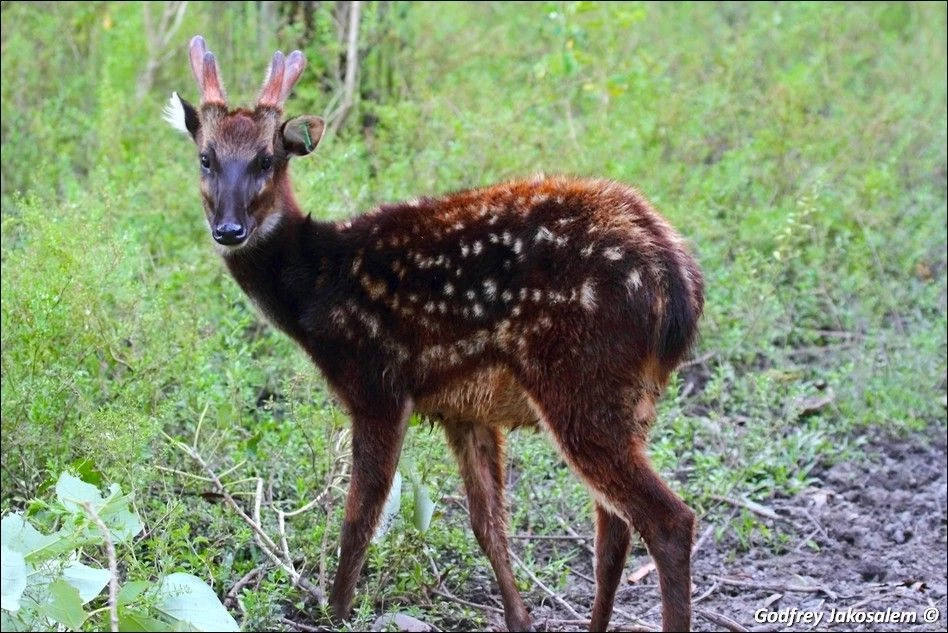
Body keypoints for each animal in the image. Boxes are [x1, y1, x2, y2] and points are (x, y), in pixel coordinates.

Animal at [168, 35, 704, 632]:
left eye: (266, 158)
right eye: (206, 157)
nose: (230, 229)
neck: (316, 286)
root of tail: (677, 280)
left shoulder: (377, 382)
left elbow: (361, 515)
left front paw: (334, 612)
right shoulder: (463, 410)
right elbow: (487, 526)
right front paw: (519, 619)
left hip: (581, 376)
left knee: (668, 520)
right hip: (632, 400)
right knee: (614, 525)